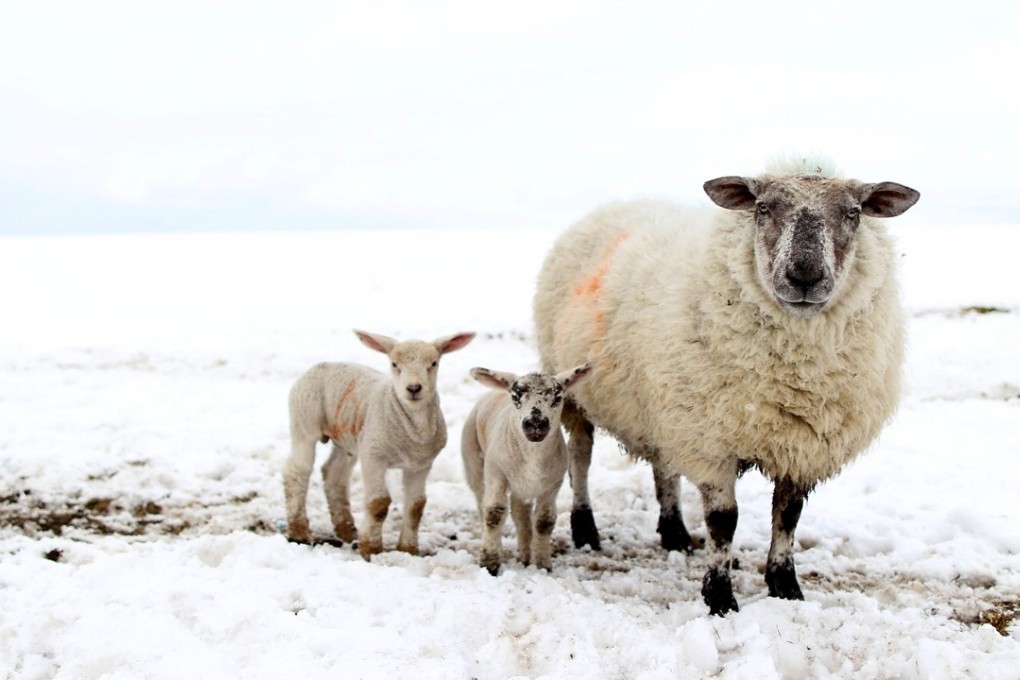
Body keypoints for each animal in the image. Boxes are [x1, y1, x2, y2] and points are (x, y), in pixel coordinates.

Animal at [283, 328, 476, 559]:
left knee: (333, 474)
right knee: (296, 472)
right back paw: (299, 532)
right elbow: (379, 503)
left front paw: (408, 550)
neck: (413, 429)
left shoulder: (421, 464)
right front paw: (371, 549)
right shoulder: (374, 456)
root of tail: (323, 364)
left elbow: (416, 505)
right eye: (394, 364)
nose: (413, 388)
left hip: (349, 439)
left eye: (433, 363)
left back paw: (347, 530)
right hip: (304, 421)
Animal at [461, 363, 592, 575]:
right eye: (516, 396)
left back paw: (525, 555)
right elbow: (494, 514)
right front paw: (489, 563)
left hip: (522, 486)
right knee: (483, 506)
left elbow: (544, 521)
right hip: (474, 463)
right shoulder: (496, 472)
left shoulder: (554, 483)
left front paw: (541, 563)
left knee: (520, 513)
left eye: (558, 397)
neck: (533, 456)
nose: (535, 423)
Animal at [532, 157, 919, 614]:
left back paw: (675, 533)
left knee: (664, 467)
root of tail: (614, 206)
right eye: (763, 208)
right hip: (575, 394)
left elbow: (788, 516)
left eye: (854, 213)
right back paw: (585, 529)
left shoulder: (798, 448)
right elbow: (723, 521)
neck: (796, 374)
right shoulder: (710, 442)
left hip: (664, 403)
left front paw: (785, 586)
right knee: (581, 459)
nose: (804, 276)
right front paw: (719, 596)